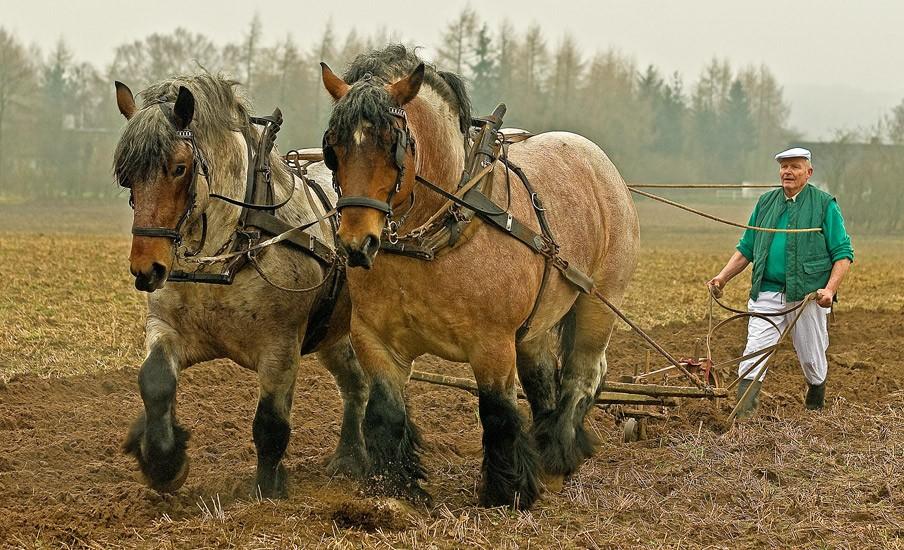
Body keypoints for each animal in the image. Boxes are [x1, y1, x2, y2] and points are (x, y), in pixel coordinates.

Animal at [113, 73, 368, 500]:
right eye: (127, 175)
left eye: (179, 168)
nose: (146, 269)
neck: (226, 252)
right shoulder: (167, 326)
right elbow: (155, 381)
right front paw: (164, 463)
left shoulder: (281, 345)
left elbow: (270, 423)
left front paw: (266, 492)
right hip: (333, 333)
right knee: (355, 384)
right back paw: (349, 458)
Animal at [322, 45, 640, 512]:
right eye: (334, 147)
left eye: (392, 143)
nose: (355, 244)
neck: (436, 235)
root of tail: (598, 160)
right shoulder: (372, 338)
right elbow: (386, 412)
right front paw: (396, 490)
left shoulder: (491, 342)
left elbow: (496, 411)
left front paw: (505, 492)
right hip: (535, 325)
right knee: (543, 379)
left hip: (598, 303)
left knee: (583, 374)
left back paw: (556, 459)